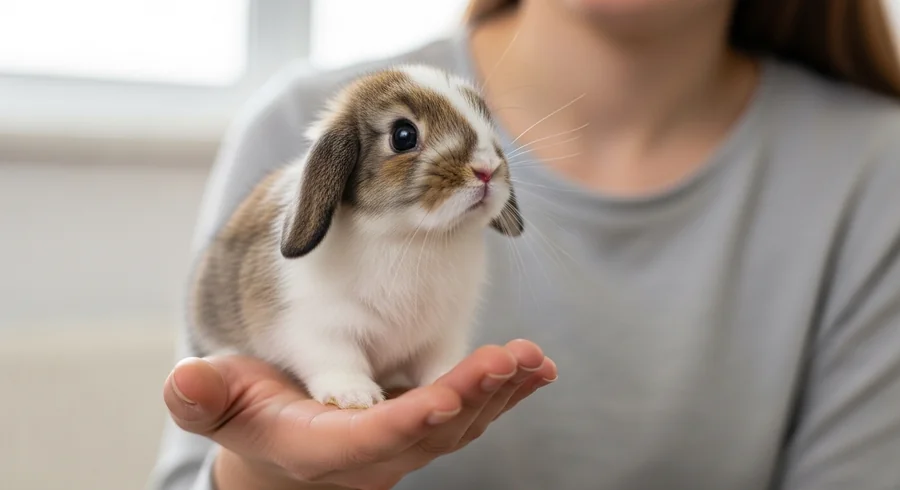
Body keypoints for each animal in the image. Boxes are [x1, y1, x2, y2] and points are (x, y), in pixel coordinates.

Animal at [187, 64, 523, 409]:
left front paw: (450, 374)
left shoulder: (444, 331)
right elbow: (339, 359)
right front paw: (354, 394)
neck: (412, 236)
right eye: (403, 136)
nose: (487, 169)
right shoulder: (317, 327)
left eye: (486, 120)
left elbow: (439, 361)